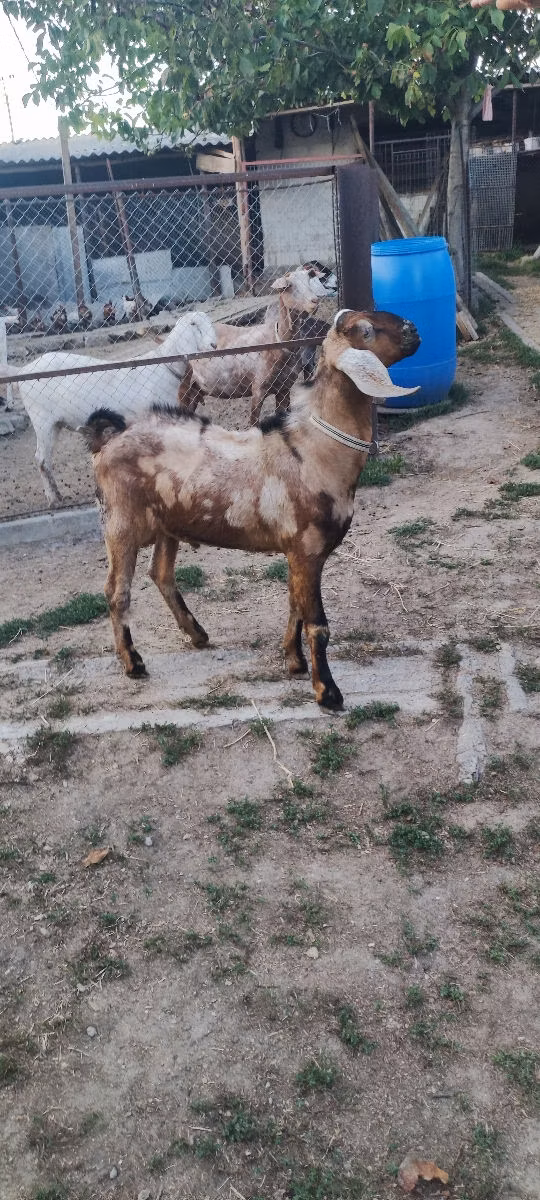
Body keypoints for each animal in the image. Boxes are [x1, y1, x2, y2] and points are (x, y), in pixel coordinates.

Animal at [5, 310, 217, 505]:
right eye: (193, 324)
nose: (213, 345)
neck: (163, 367)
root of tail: (23, 370)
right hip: (42, 420)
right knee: (41, 458)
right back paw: (53, 499)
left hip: (54, 423)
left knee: (46, 458)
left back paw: (57, 495)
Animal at [85, 308, 420, 709]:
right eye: (366, 331)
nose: (414, 330)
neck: (313, 450)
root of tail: (109, 436)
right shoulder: (307, 549)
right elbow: (317, 623)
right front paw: (327, 692)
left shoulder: (299, 552)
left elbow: (294, 604)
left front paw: (294, 662)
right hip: (120, 522)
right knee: (116, 590)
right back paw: (133, 663)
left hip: (168, 523)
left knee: (161, 574)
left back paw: (197, 633)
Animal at [189, 267, 329, 423]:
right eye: (290, 286)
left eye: (309, 281)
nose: (314, 301)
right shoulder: (257, 389)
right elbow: (253, 423)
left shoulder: (284, 387)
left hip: (194, 391)